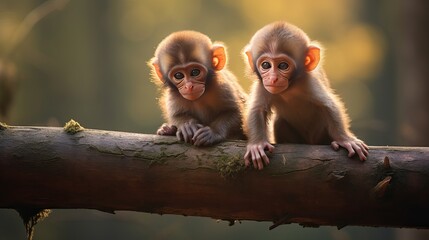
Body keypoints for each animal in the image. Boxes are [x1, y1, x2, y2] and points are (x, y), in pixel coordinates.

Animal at [244, 21, 368, 170]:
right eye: (266, 65)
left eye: (283, 65)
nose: (273, 79)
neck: (289, 88)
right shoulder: (263, 85)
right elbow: (257, 109)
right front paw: (258, 145)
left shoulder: (309, 82)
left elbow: (328, 105)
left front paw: (345, 140)